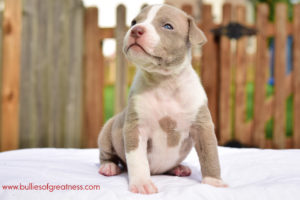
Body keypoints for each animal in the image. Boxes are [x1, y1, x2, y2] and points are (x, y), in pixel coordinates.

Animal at [98, 3, 227, 194]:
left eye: (167, 26)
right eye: (134, 22)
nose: (136, 30)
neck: (164, 82)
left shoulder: (202, 126)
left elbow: (210, 155)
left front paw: (213, 182)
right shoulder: (135, 127)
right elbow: (137, 160)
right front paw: (142, 184)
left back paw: (179, 168)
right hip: (108, 130)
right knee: (107, 154)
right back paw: (109, 167)